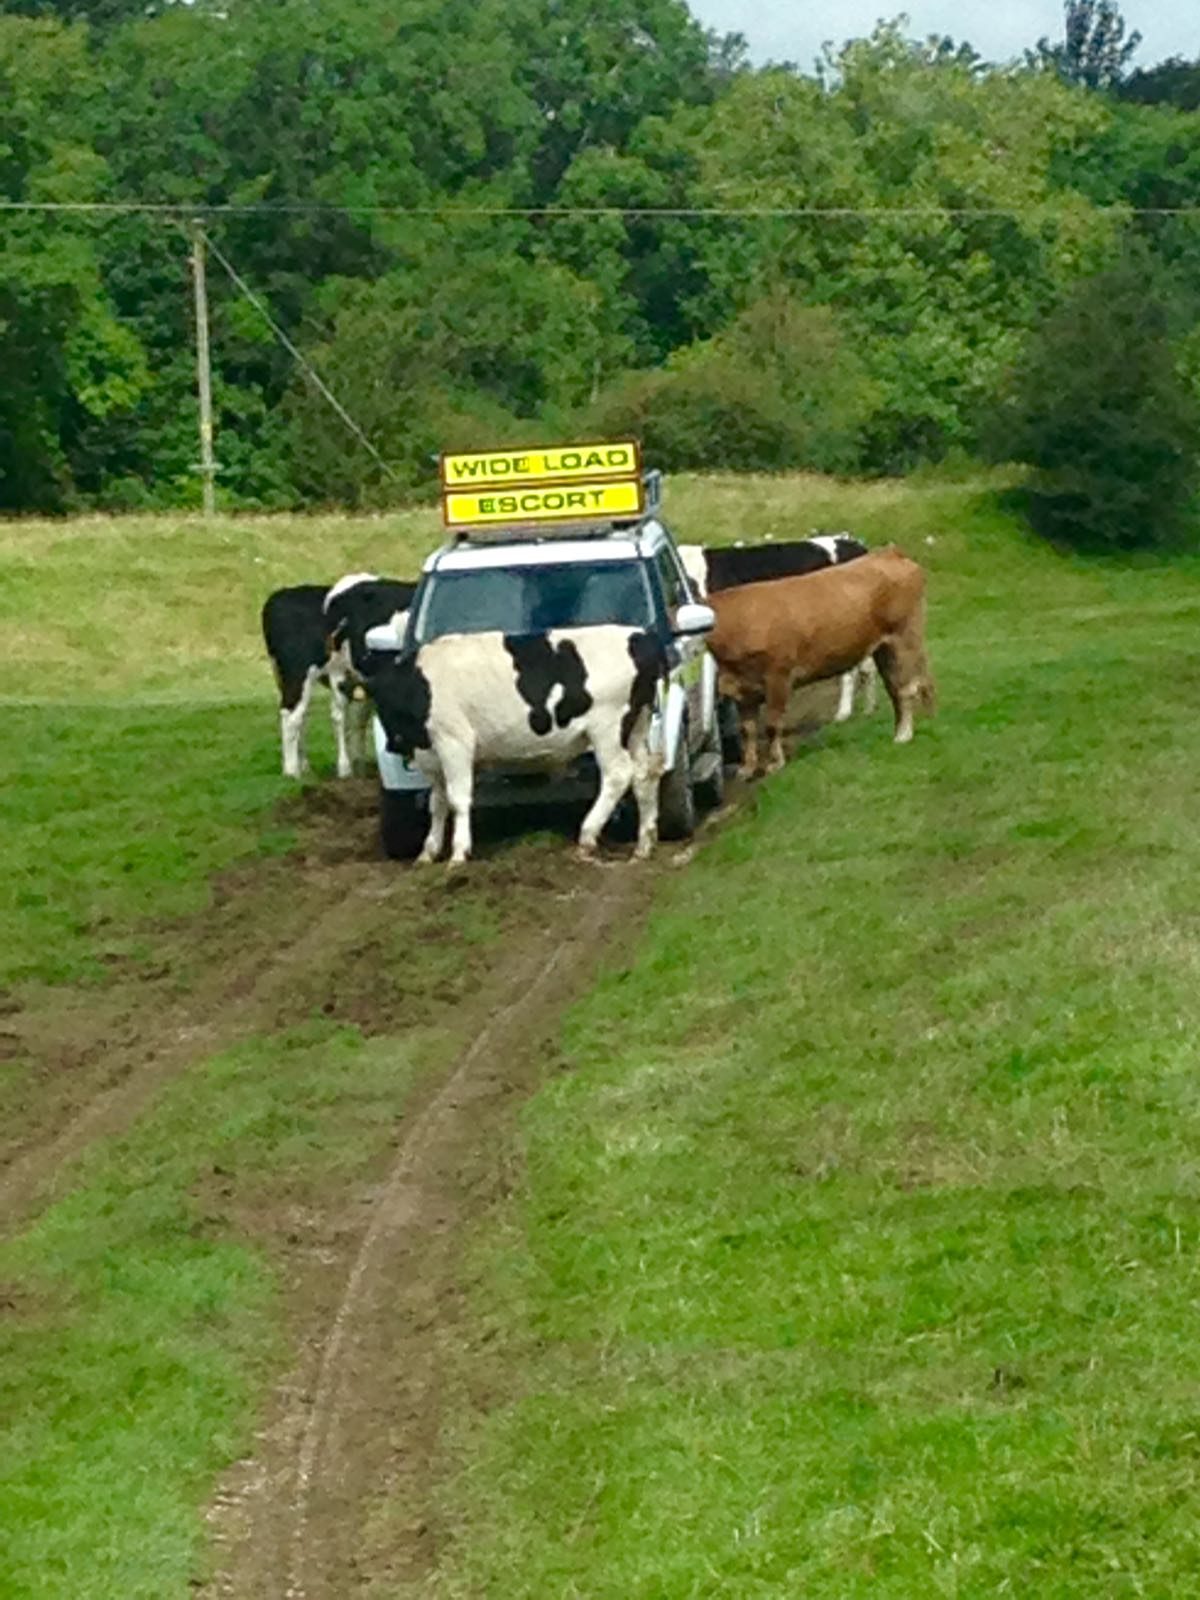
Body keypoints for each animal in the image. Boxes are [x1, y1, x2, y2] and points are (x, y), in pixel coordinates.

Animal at [366, 624, 668, 870]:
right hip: (637, 727)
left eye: (384, 703)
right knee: (644, 774)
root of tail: (641, 637)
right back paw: (643, 846)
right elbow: (437, 803)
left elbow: (457, 798)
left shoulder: (454, 741)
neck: (422, 682)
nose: (393, 744)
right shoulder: (432, 754)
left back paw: (588, 835)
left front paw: (458, 854)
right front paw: (428, 852)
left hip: (608, 728)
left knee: (618, 774)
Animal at [704, 544, 940, 780]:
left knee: (907, 688)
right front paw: (747, 768)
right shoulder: (742, 689)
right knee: (903, 686)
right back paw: (927, 720)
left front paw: (775, 763)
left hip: (904, 639)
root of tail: (889, 552)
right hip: (884, 649)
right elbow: (748, 730)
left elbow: (771, 724)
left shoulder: (777, 677)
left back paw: (903, 735)